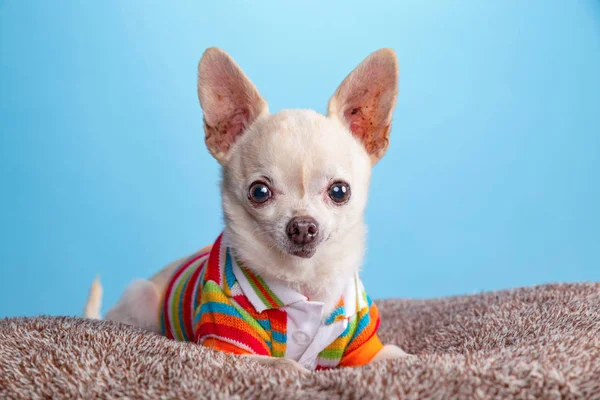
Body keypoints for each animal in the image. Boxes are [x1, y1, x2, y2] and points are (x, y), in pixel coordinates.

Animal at [84, 48, 410, 374]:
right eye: (259, 192)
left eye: (339, 192)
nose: (303, 226)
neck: (304, 281)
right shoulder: (228, 346)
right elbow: (285, 365)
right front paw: (299, 369)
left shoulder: (364, 346)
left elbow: (398, 358)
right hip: (140, 298)